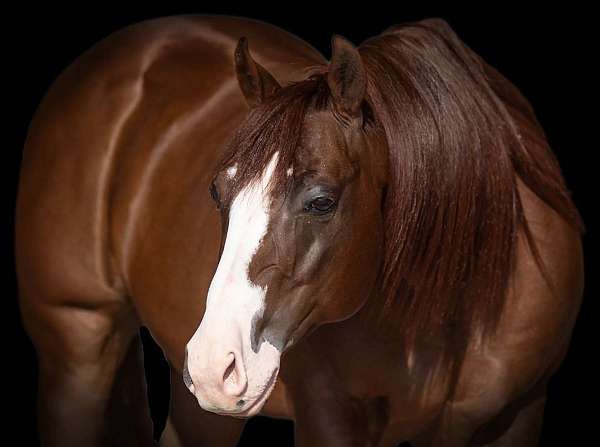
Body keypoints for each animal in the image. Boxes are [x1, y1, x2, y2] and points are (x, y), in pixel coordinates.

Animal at [16, 14, 584, 447]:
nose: (214, 364)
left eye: (321, 201)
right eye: (218, 193)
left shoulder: (517, 414)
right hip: (78, 345)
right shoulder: (329, 417)